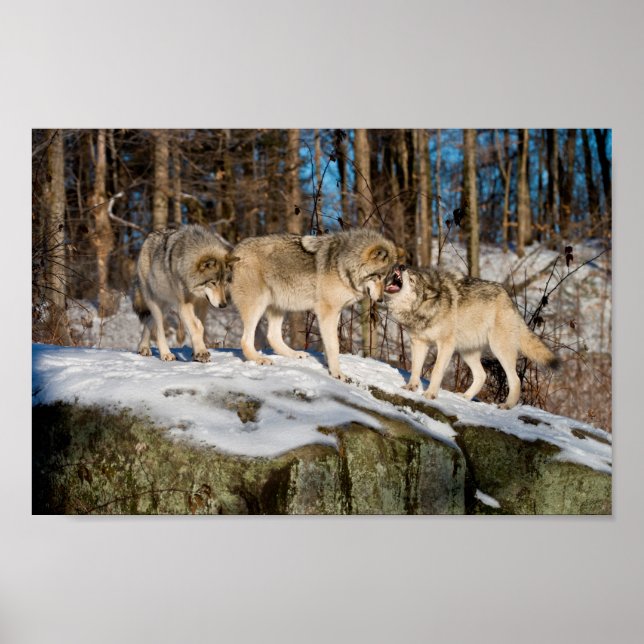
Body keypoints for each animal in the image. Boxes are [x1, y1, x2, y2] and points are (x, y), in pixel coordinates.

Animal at [133, 224, 239, 362]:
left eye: (224, 283)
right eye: (213, 283)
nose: (223, 305)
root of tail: (149, 236)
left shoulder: (203, 304)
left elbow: (200, 327)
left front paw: (196, 353)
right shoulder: (184, 306)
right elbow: (195, 327)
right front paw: (202, 352)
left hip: (166, 305)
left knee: (149, 321)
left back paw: (143, 347)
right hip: (155, 302)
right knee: (159, 329)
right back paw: (165, 353)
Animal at [230, 229, 404, 380]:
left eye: (387, 278)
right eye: (378, 276)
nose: (380, 300)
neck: (343, 266)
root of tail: (234, 250)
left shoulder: (335, 312)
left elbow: (329, 345)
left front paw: (329, 366)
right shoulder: (328, 312)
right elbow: (334, 346)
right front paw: (337, 373)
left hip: (280, 306)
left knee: (273, 337)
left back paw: (294, 354)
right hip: (257, 306)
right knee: (245, 340)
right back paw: (259, 359)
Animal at [383, 264, 560, 408]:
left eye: (411, 279)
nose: (401, 265)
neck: (423, 309)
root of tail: (509, 298)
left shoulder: (445, 345)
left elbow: (436, 371)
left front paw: (430, 394)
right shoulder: (419, 342)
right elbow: (415, 368)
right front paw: (411, 387)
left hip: (499, 349)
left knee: (515, 380)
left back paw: (507, 405)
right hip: (467, 352)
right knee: (482, 375)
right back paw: (465, 397)